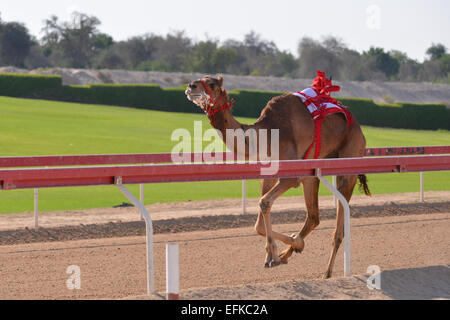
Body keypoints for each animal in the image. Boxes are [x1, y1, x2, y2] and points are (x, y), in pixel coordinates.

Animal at [185, 72, 370, 278]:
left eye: (211, 84)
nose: (191, 86)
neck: (265, 133)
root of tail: (360, 130)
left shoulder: (291, 176)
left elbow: (264, 202)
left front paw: (273, 255)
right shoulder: (270, 172)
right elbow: (258, 221)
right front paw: (284, 250)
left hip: (349, 160)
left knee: (338, 225)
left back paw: (327, 273)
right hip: (312, 172)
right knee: (313, 216)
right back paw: (289, 253)